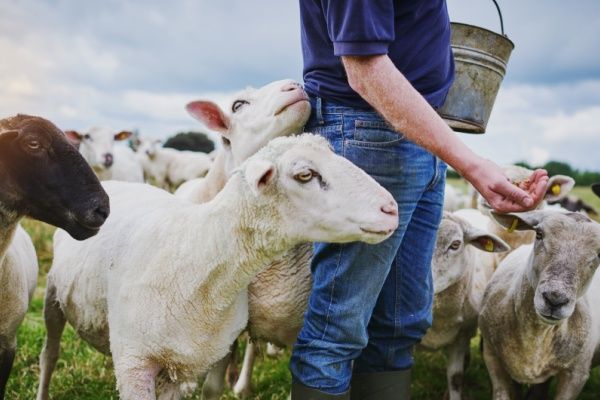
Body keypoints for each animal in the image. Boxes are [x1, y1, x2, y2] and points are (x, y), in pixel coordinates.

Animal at [34, 134, 398, 400]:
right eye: (305, 175)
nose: (391, 208)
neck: (199, 253)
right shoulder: (134, 363)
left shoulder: (183, 367)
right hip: (52, 295)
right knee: (49, 354)